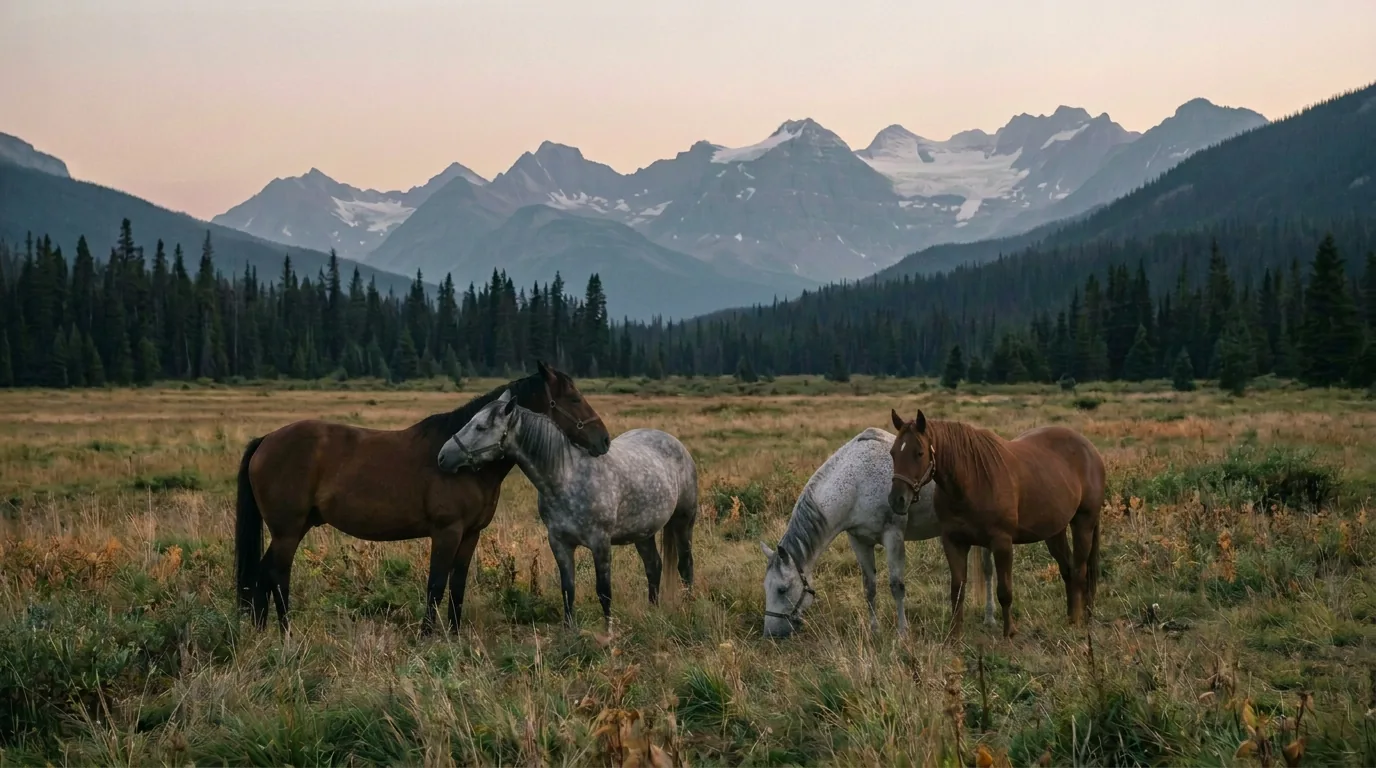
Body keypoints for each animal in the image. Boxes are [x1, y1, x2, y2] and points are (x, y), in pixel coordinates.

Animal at [235, 361, 612, 635]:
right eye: (574, 399)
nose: (604, 440)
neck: (464, 463)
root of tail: (266, 440)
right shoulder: (446, 531)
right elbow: (436, 584)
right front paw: (427, 634)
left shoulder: (470, 534)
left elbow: (457, 585)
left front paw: (455, 635)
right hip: (288, 531)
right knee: (275, 575)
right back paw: (285, 632)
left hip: (292, 529)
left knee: (263, 575)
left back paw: (263, 631)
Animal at [437, 389, 698, 630]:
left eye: (480, 427)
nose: (442, 456)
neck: (566, 476)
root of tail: (674, 442)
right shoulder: (560, 542)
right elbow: (567, 588)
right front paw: (570, 631)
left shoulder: (600, 542)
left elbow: (604, 591)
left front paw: (608, 633)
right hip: (643, 532)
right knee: (654, 566)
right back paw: (653, 612)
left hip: (683, 521)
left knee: (685, 566)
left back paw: (688, 608)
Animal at [760, 427, 995, 639]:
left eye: (782, 589)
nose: (771, 634)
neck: (856, 483)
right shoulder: (859, 541)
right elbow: (870, 588)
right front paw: (875, 631)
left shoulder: (893, 536)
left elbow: (896, 586)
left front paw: (902, 634)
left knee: (988, 570)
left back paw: (990, 617)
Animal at [887, 409, 1106, 640]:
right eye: (893, 453)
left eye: (919, 453)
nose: (897, 500)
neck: (971, 480)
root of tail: (1090, 449)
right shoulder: (953, 542)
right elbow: (957, 590)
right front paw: (954, 635)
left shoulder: (1001, 542)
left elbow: (1004, 591)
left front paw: (1009, 632)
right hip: (1055, 531)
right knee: (1067, 569)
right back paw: (1071, 617)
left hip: (1083, 523)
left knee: (1080, 571)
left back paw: (1078, 620)